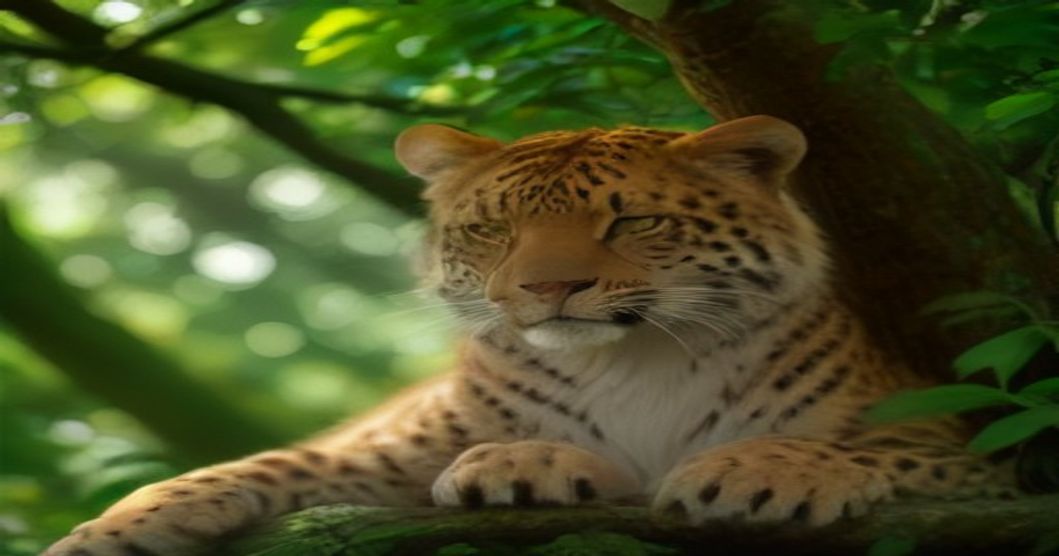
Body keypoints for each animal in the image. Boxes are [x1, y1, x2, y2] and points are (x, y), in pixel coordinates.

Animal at [45, 116, 1018, 555]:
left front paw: (765, 472)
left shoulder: (977, 459)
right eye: (492, 230)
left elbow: (863, 451)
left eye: (632, 221)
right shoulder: (385, 450)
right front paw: (103, 534)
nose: (547, 287)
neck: (633, 360)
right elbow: (267, 466)